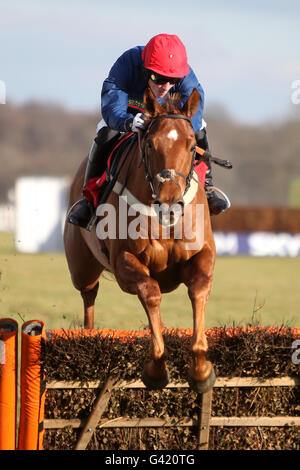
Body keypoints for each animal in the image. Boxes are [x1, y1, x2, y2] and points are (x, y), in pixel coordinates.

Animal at [64, 88, 217, 392]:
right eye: (149, 145)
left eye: (192, 147)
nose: (169, 205)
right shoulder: (125, 261)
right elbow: (150, 292)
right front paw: (157, 369)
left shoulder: (203, 254)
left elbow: (198, 290)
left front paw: (201, 369)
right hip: (82, 269)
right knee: (89, 296)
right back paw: (88, 336)